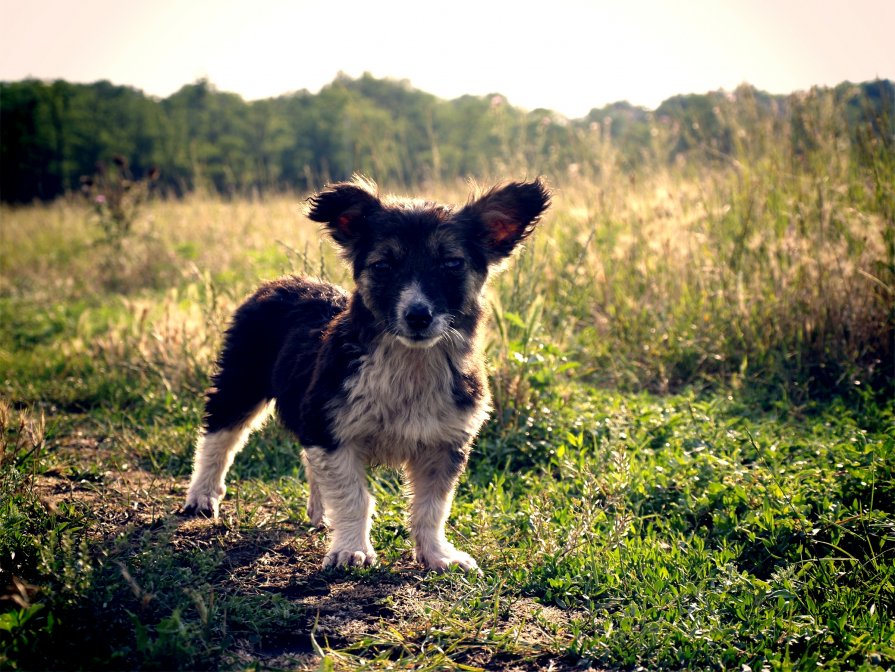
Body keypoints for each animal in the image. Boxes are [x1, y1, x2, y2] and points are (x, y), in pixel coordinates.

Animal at [183, 176, 548, 568]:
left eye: (452, 263)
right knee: (218, 436)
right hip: (241, 380)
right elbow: (353, 497)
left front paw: (437, 554)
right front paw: (350, 549)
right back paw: (202, 495)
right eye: (383, 266)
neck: (410, 365)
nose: (418, 316)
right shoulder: (332, 430)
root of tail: (281, 281)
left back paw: (319, 512)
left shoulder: (444, 442)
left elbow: (432, 508)